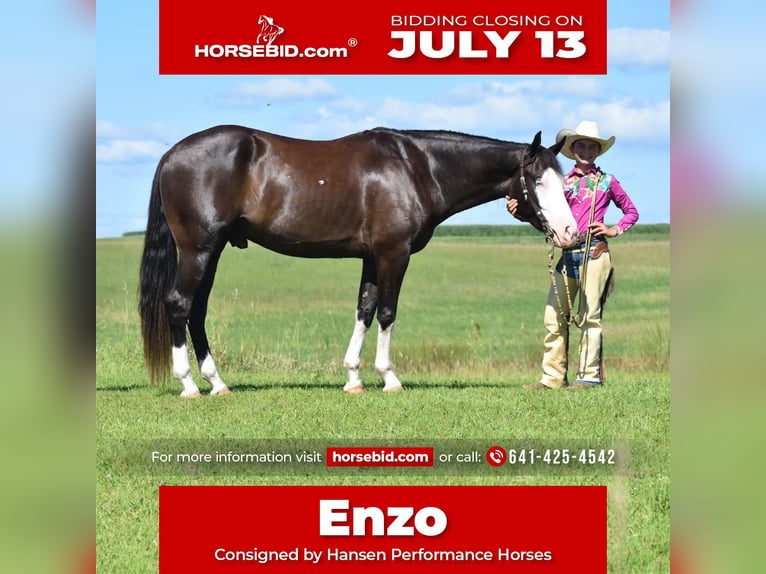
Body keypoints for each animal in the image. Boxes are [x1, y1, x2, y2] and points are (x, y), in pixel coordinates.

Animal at [138, 126, 578, 397]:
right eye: (538, 180)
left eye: (564, 180)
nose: (570, 232)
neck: (417, 168)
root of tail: (172, 153)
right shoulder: (393, 253)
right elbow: (386, 312)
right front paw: (389, 377)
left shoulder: (371, 256)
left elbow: (364, 310)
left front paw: (353, 378)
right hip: (198, 249)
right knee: (180, 304)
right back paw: (189, 385)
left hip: (211, 252)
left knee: (197, 310)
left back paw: (217, 382)